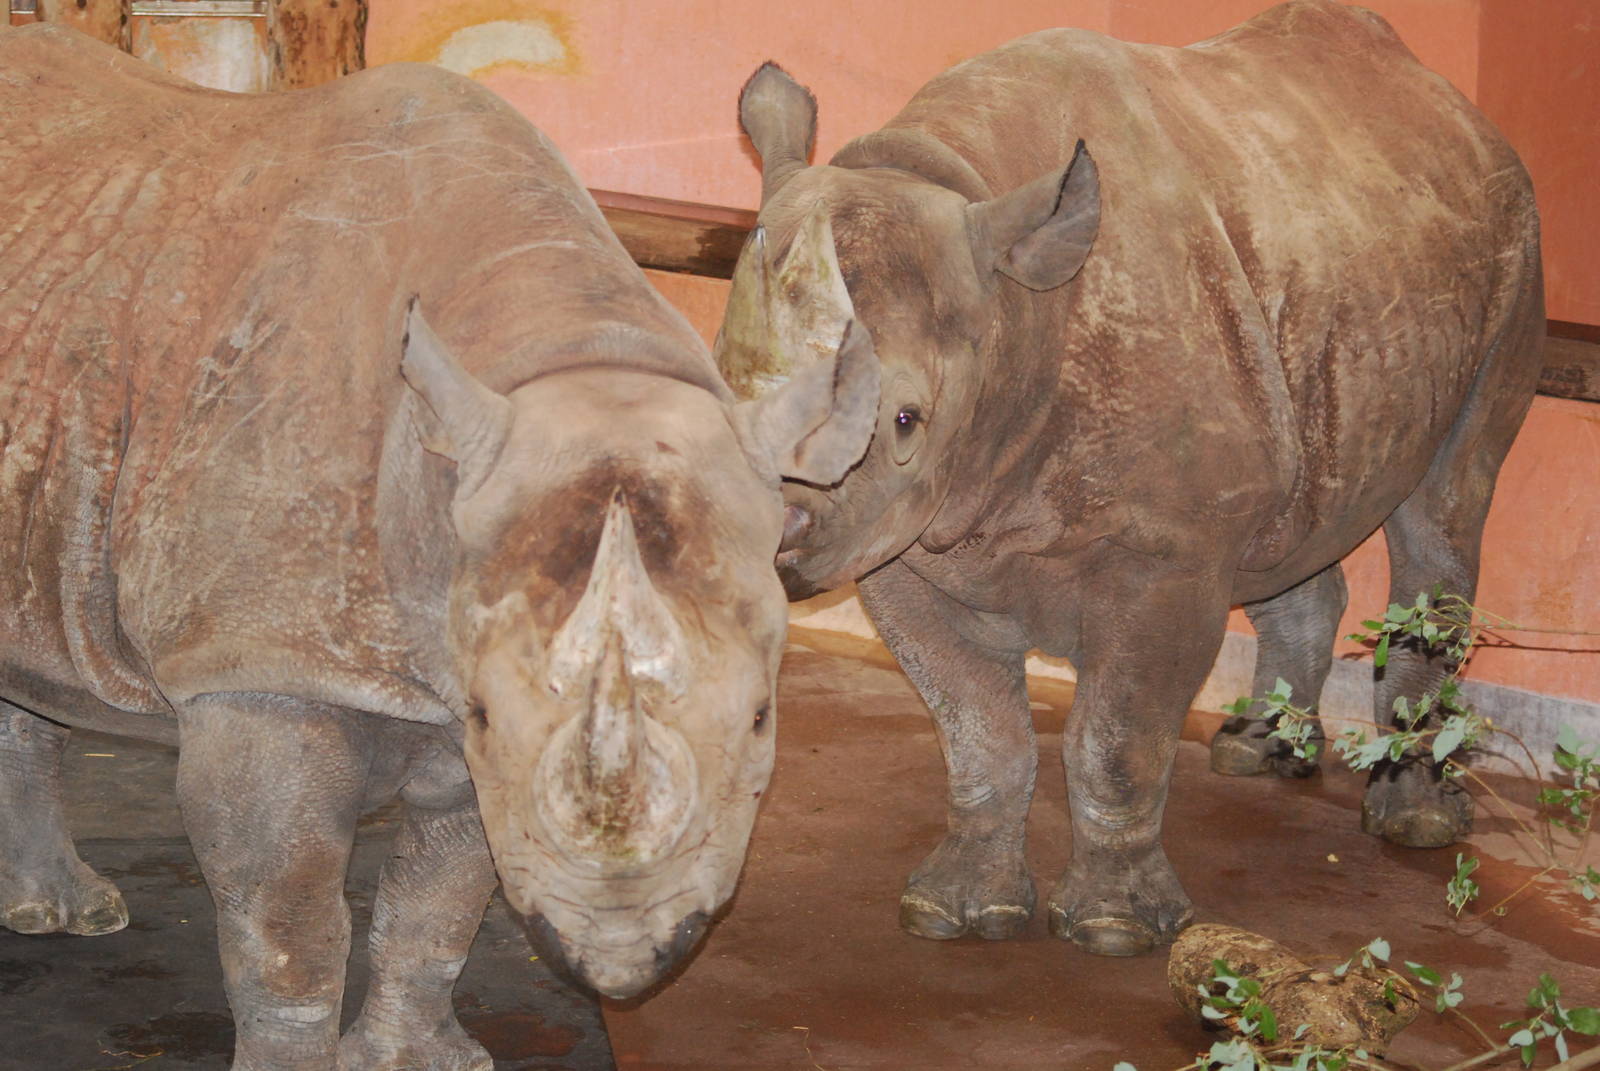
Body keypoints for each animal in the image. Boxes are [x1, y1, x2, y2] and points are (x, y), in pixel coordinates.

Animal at [0, 24, 875, 1068]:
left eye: (760, 719)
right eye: (490, 713)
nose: (625, 958)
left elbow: (439, 897)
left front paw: (415, 1059)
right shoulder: (259, 663)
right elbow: (287, 918)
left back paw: (61, 913)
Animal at [718, 0, 1542, 957]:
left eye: (906, 421)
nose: (766, 525)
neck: (1013, 312)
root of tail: (1458, 110)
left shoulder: (1168, 553)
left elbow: (1117, 737)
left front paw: (1115, 931)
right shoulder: (900, 545)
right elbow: (979, 730)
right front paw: (954, 914)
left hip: (1515, 246)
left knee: (1445, 507)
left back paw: (1415, 823)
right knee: (1294, 515)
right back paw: (1257, 752)